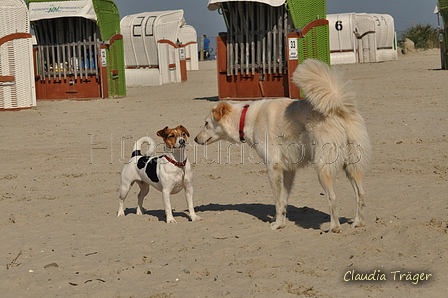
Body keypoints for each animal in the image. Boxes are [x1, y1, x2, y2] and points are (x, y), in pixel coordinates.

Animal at [194, 59, 372, 233]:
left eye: (206, 123)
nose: (195, 139)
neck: (245, 118)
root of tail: (339, 107)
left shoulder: (273, 168)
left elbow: (278, 201)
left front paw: (278, 224)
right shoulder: (288, 170)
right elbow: (283, 200)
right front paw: (280, 220)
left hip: (323, 168)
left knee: (333, 197)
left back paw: (334, 228)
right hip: (352, 167)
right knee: (361, 193)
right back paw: (358, 223)